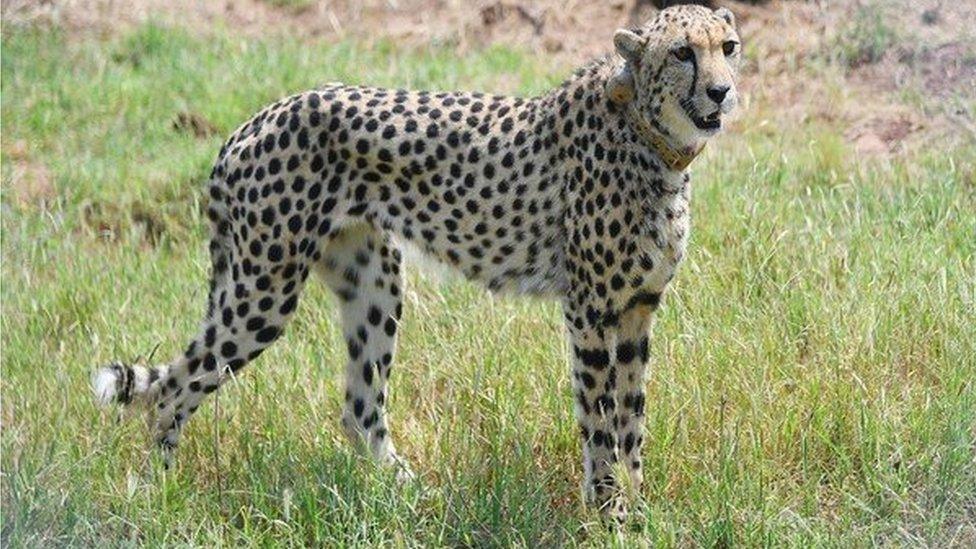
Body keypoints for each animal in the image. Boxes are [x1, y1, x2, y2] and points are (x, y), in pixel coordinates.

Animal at [91, 4, 740, 520]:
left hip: (373, 282)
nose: (721, 92)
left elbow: (632, 420)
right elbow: (601, 420)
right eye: (683, 52)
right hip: (263, 291)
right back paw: (160, 491)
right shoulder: (591, 310)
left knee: (359, 407)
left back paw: (408, 492)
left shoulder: (637, 308)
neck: (651, 137)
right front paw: (611, 513)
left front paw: (639, 504)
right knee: (173, 387)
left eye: (728, 48)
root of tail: (252, 122)